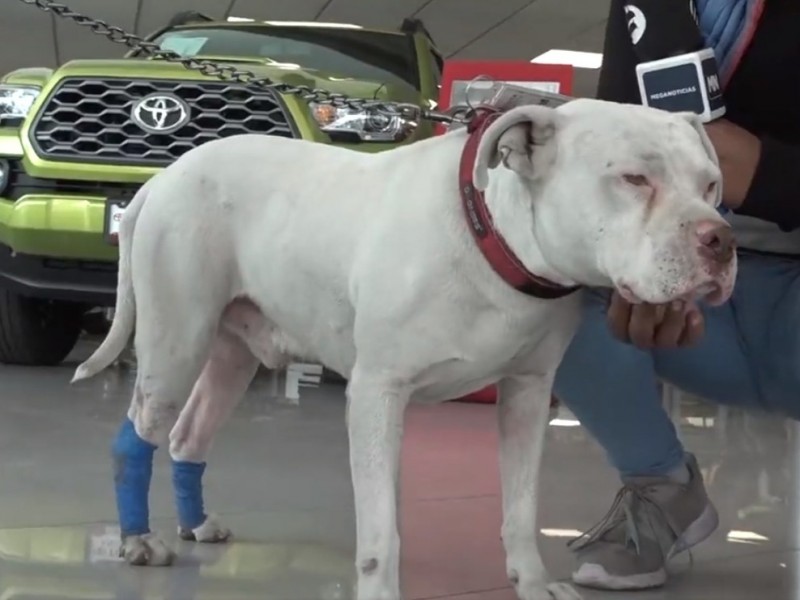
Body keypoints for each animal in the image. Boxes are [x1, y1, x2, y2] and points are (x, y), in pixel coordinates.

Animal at [75, 101, 736, 600]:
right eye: (634, 179)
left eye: (710, 185)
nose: (721, 238)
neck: (491, 236)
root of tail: (163, 178)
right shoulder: (377, 395)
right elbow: (381, 531)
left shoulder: (526, 397)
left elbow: (520, 508)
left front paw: (531, 582)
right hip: (176, 343)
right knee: (136, 438)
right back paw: (138, 539)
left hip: (231, 357)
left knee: (189, 436)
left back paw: (195, 523)